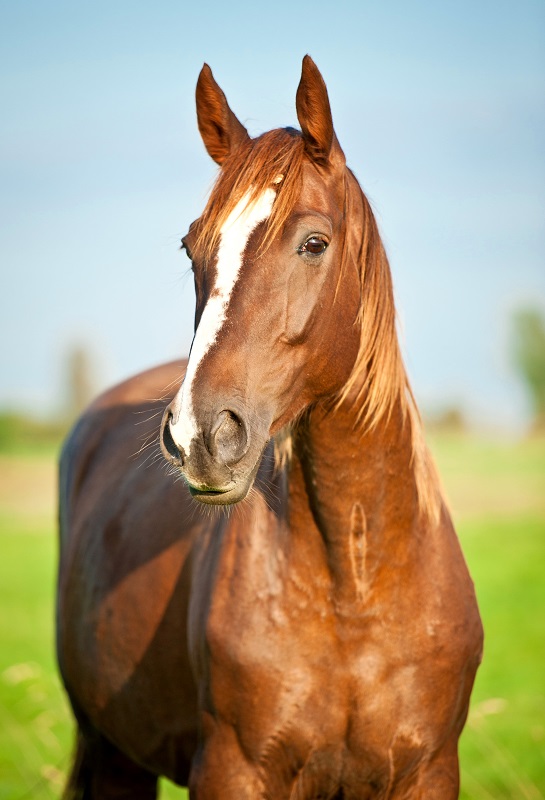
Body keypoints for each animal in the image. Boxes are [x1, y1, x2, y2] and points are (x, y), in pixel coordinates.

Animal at [57, 56, 483, 799]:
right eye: (191, 247)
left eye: (313, 243)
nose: (199, 435)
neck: (355, 584)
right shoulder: (231, 770)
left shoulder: (429, 772)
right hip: (112, 755)